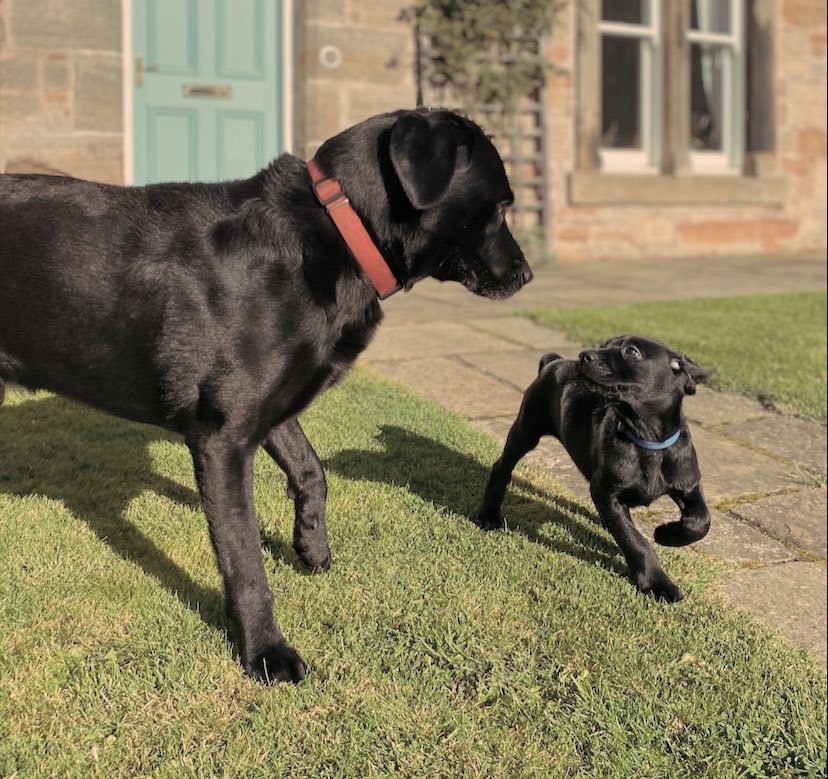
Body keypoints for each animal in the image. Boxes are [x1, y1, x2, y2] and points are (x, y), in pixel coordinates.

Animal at [0, 108, 532, 684]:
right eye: (502, 206)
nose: (527, 274)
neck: (337, 230)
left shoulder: (268, 408)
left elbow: (311, 470)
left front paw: (311, 547)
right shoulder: (223, 439)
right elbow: (244, 558)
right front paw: (265, 650)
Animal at [472, 336, 712, 604]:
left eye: (632, 352)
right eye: (605, 344)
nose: (583, 356)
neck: (647, 441)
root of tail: (554, 362)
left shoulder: (689, 486)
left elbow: (702, 521)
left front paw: (667, 534)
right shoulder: (605, 492)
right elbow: (634, 539)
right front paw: (657, 582)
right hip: (526, 430)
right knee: (501, 468)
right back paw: (488, 515)